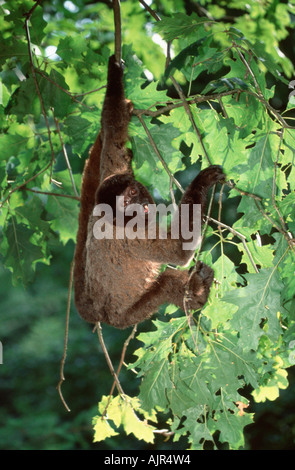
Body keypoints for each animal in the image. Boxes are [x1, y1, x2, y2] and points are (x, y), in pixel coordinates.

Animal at [73, 55, 224, 328]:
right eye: (125, 203)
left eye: (133, 192)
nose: (138, 204)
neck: (113, 218)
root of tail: (101, 312)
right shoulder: (132, 236)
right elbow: (178, 249)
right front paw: (202, 181)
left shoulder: (112, 177)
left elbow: (113, 139)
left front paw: (115, 77)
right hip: (131, 313)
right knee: (166, 282)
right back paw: (196, 295)